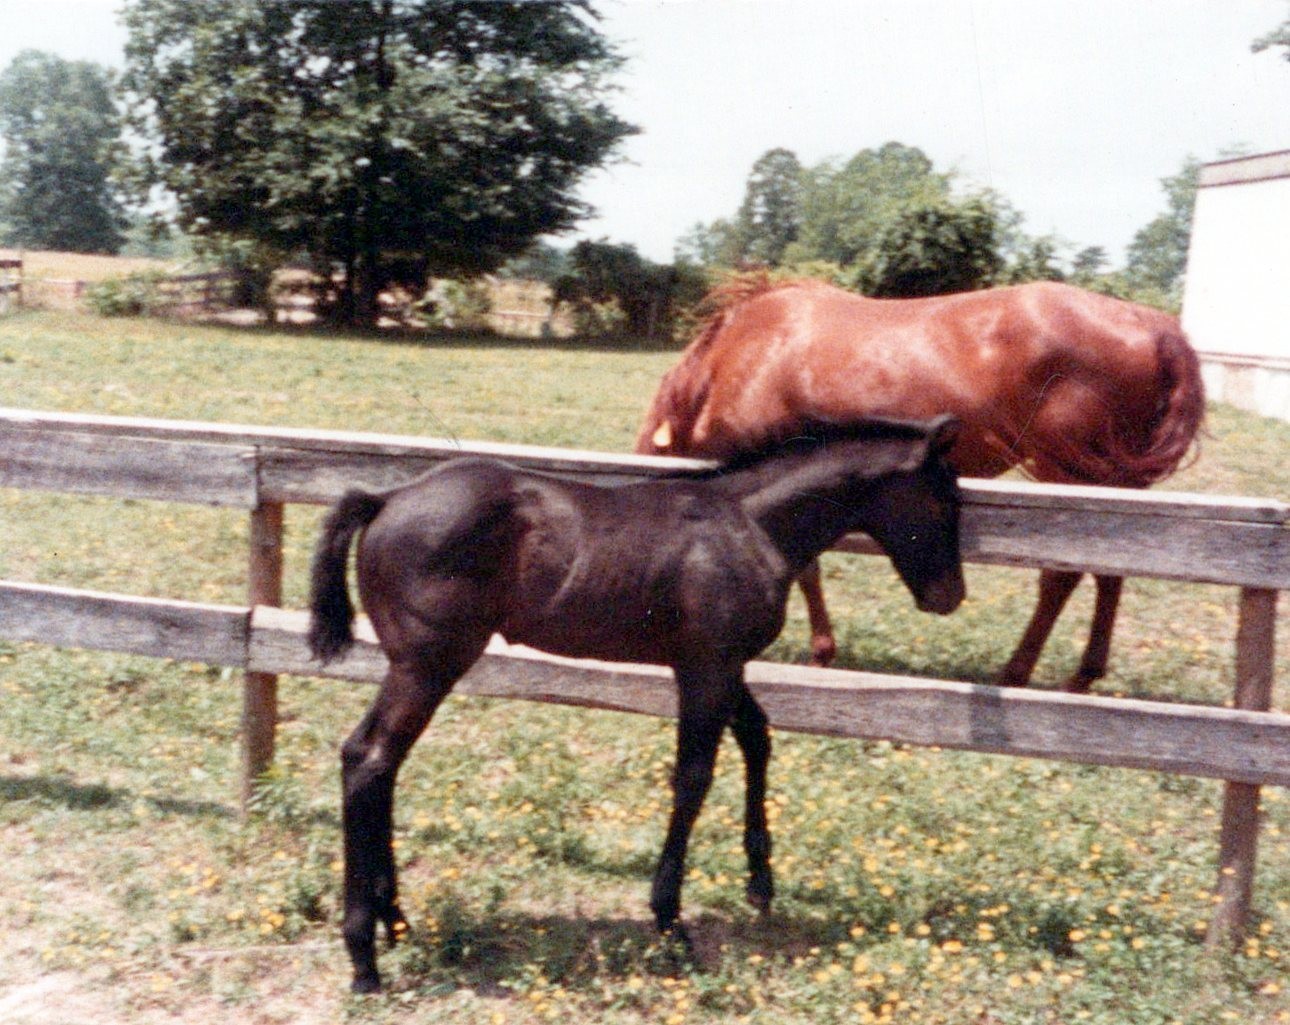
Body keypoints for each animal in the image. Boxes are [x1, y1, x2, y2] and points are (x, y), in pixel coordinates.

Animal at [308, 415, 964, 993]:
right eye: (944, 503)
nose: (950, 597)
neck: (750, 526)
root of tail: (386, 499)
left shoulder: (723, 664)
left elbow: (757, 738)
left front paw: (760, 883)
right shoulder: (706, 667)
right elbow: (694, 777)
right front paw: (671, 922)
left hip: (421, 667)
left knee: (380, 763)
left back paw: (395, 921)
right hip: (429, 664)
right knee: (368, 758)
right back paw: (364, 957)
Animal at [636, 276, 1205, 691]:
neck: (746, 352)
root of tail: (1152, 324)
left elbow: (805, 569)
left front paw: (820, 650)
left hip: (1068, 476)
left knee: (1062, 577)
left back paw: (1018, 670)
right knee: (1111, 575)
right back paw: (1084, 673)